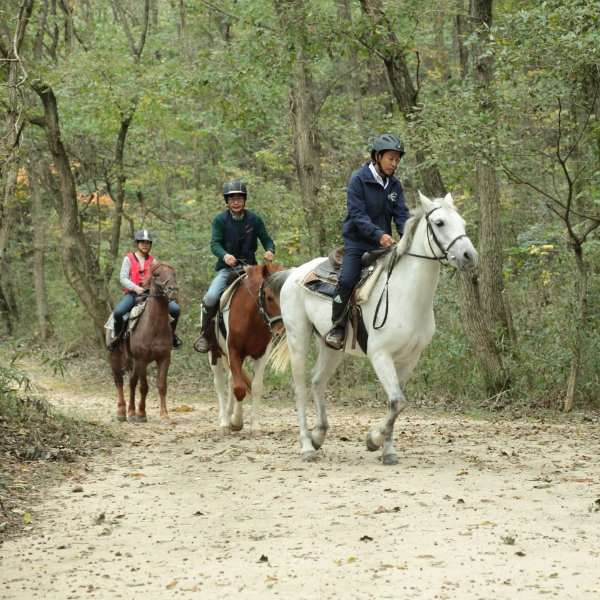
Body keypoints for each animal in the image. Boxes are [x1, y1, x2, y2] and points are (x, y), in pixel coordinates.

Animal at [108, 264, 179, 426]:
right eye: (157, 274)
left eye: (173, 274)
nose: (173, 289)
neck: (154, 325)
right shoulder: (142, 360)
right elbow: (144, 387)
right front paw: (141, 414)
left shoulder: (164, 359)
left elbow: (161, 386)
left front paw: (164, 415)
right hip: (115, 355)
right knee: (119, 381)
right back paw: (121, 412)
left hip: (134, 360)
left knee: (131, 381)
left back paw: (131, 412)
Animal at [211, 262, 286, 436]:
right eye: (269, 297)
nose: (281, 333)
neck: (251, 317)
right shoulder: (234, 352)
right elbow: (240, 389)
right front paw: (236, 421)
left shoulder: (261, 355)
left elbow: (255, 387)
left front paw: (255, 426)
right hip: (215, 353)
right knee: (220, 383)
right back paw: (224, 422)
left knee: (231, 379)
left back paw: (229, 413)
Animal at [272, 192, 478, 464]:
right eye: (440, 223)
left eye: (463, 223)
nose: (469, 256)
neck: (406, 294)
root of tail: (294, 273)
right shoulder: (380, 355)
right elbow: (397, 401)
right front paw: (373, 441)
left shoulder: (408, 360)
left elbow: (395, 404)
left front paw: (388, 451)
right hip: (298, 338)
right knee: (299, 388)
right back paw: (306, 446)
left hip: (330, 346)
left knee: (317, 380)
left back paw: (318, 436)